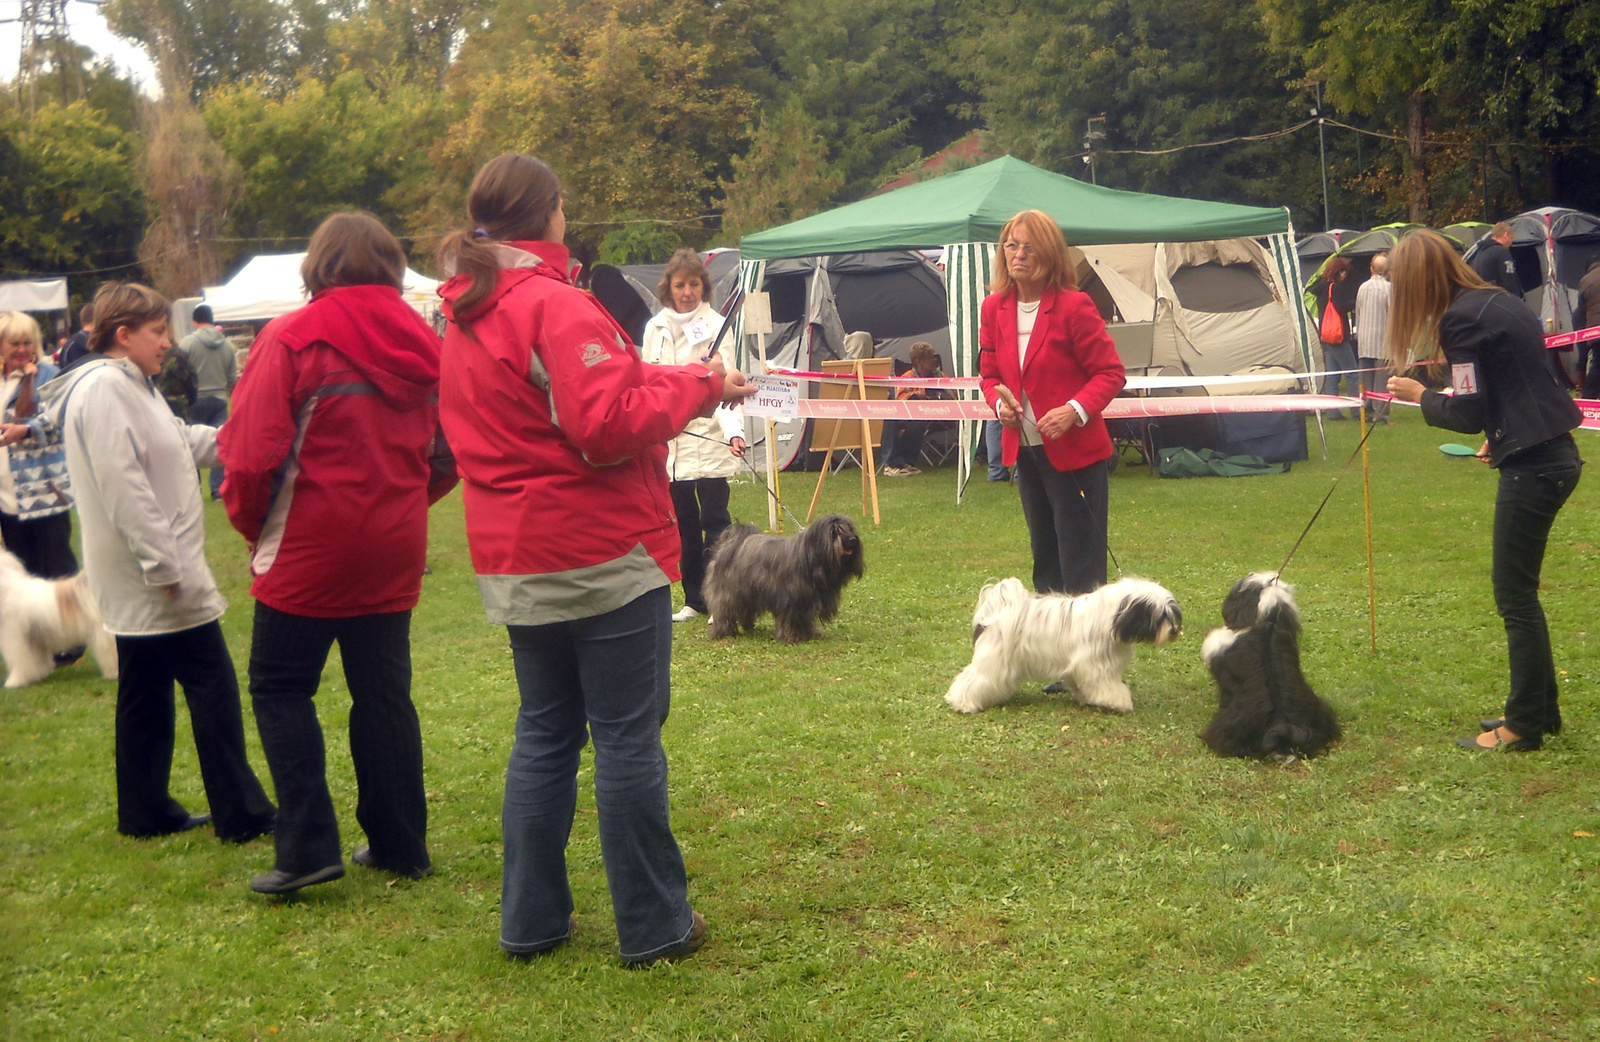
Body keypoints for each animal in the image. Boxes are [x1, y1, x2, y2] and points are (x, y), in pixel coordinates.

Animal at [0, 550, 116, 688]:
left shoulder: (16, 640)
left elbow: (20, 662)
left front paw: (14, 681)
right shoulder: (36, 642)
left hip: (102, 632)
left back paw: (113, 673)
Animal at [707, 512, 870, 643]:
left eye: (850, 528)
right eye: (834, 531)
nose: (852, 539)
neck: (809, 559)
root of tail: (733, 542)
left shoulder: (806, 602)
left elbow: (805, 619)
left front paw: (810, 633)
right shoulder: (789, 600)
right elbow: (789, 619)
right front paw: (791, 637)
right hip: (729, 592)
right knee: (724, 610)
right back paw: (723, 631)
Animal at [940, 579, 1184, 717]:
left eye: (1172, 613)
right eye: (1158, 616)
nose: (1174, 631)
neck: (1113, 616)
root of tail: (996, 613)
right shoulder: (1095, 664)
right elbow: (1108, 685)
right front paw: (1119, 702)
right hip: (995, 660)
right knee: (972, 679)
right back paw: (962, 703)